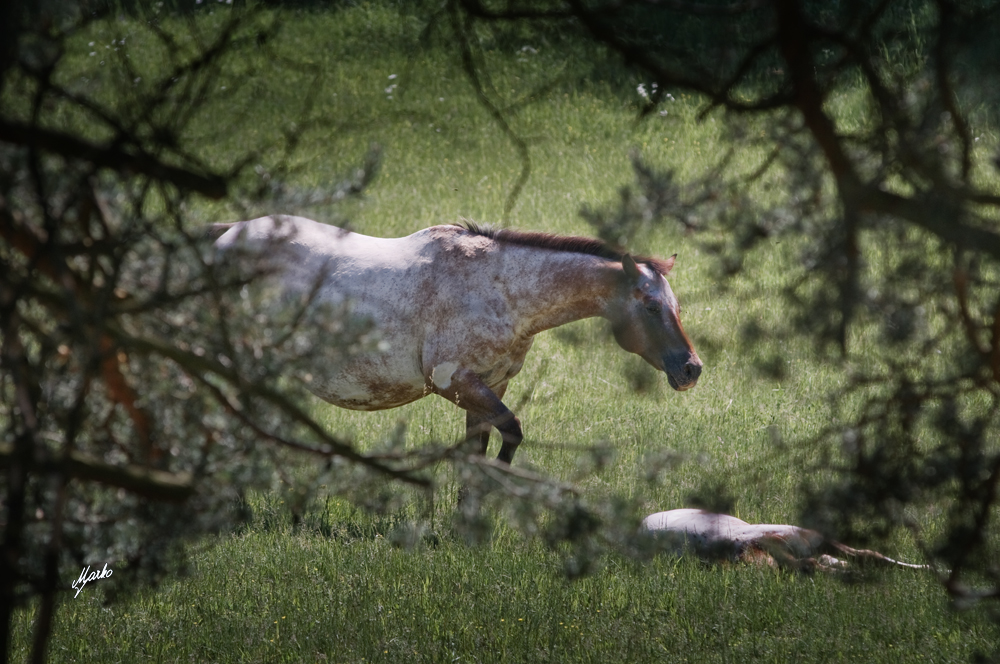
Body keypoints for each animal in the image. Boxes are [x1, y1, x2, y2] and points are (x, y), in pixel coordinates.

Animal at [213, 217, 704, 462]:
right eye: (650, 306)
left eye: (676, 306)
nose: (692, 369)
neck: (497, 287)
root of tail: (223, 237)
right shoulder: (456, 382)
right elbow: (512, 432)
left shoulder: (490, 385)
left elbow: (478, 450)